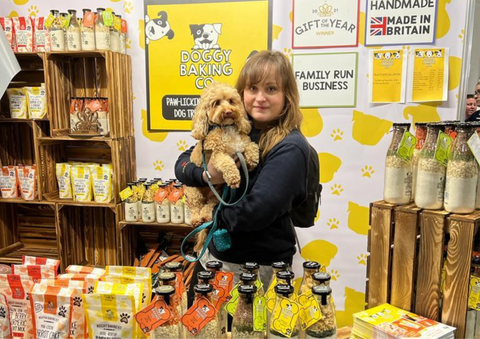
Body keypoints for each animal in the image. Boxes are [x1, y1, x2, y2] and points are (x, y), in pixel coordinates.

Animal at [185, 82, 258, 252]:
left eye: (231, 101)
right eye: (216, 103)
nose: (229, 111)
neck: (226, 128)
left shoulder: (242, 145)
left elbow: (252, 146)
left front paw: (252, 160)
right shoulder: (217, 155)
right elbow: (226, 162)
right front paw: (234, 178)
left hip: (216, 195)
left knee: (209, 206)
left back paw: (206, 216)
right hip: (193, 192)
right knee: (196, 207)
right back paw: (197, 219)